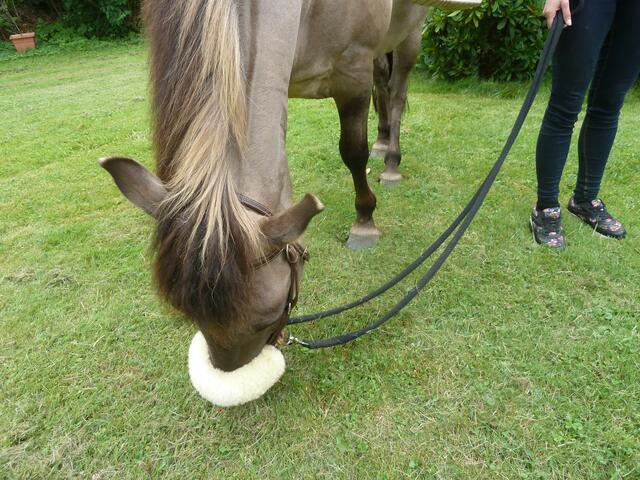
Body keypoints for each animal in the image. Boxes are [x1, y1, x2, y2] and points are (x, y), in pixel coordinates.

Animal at [101, 0, 477, 407]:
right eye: (187, 312)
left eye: (268, 315)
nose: (236, 378)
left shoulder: (353, 72)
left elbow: (353, 151)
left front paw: (364, 220)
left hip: (410, 36)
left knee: (395, 91)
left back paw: (390, 161)